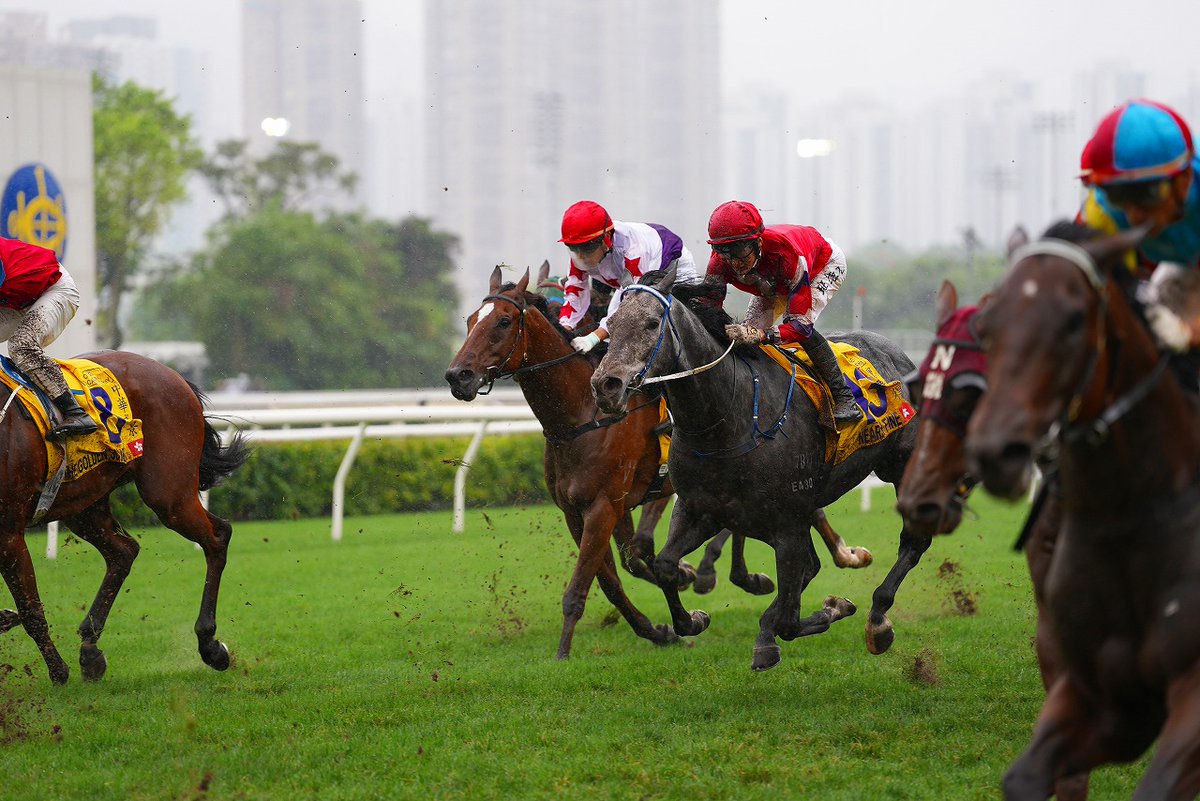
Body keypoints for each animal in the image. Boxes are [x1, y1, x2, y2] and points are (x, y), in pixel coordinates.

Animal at [0, 352, 249, 685]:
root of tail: (175, 375)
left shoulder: (8, 533)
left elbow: (31, 610)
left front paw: (58, 672)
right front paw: (6, 619)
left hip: (168, 493)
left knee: (218, 536)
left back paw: (210, 645)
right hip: (84, 501)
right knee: (123, 551)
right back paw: (90, 649)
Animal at [446, 266, 868, 661]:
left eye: (502, 322)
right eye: (470, 321)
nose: (457, 376)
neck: (580, 418)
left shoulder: (606, 505)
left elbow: (591, 580)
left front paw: (563, 652)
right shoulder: (579, 511)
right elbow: (617, 576)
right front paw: (659, 627)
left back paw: (821, 559)